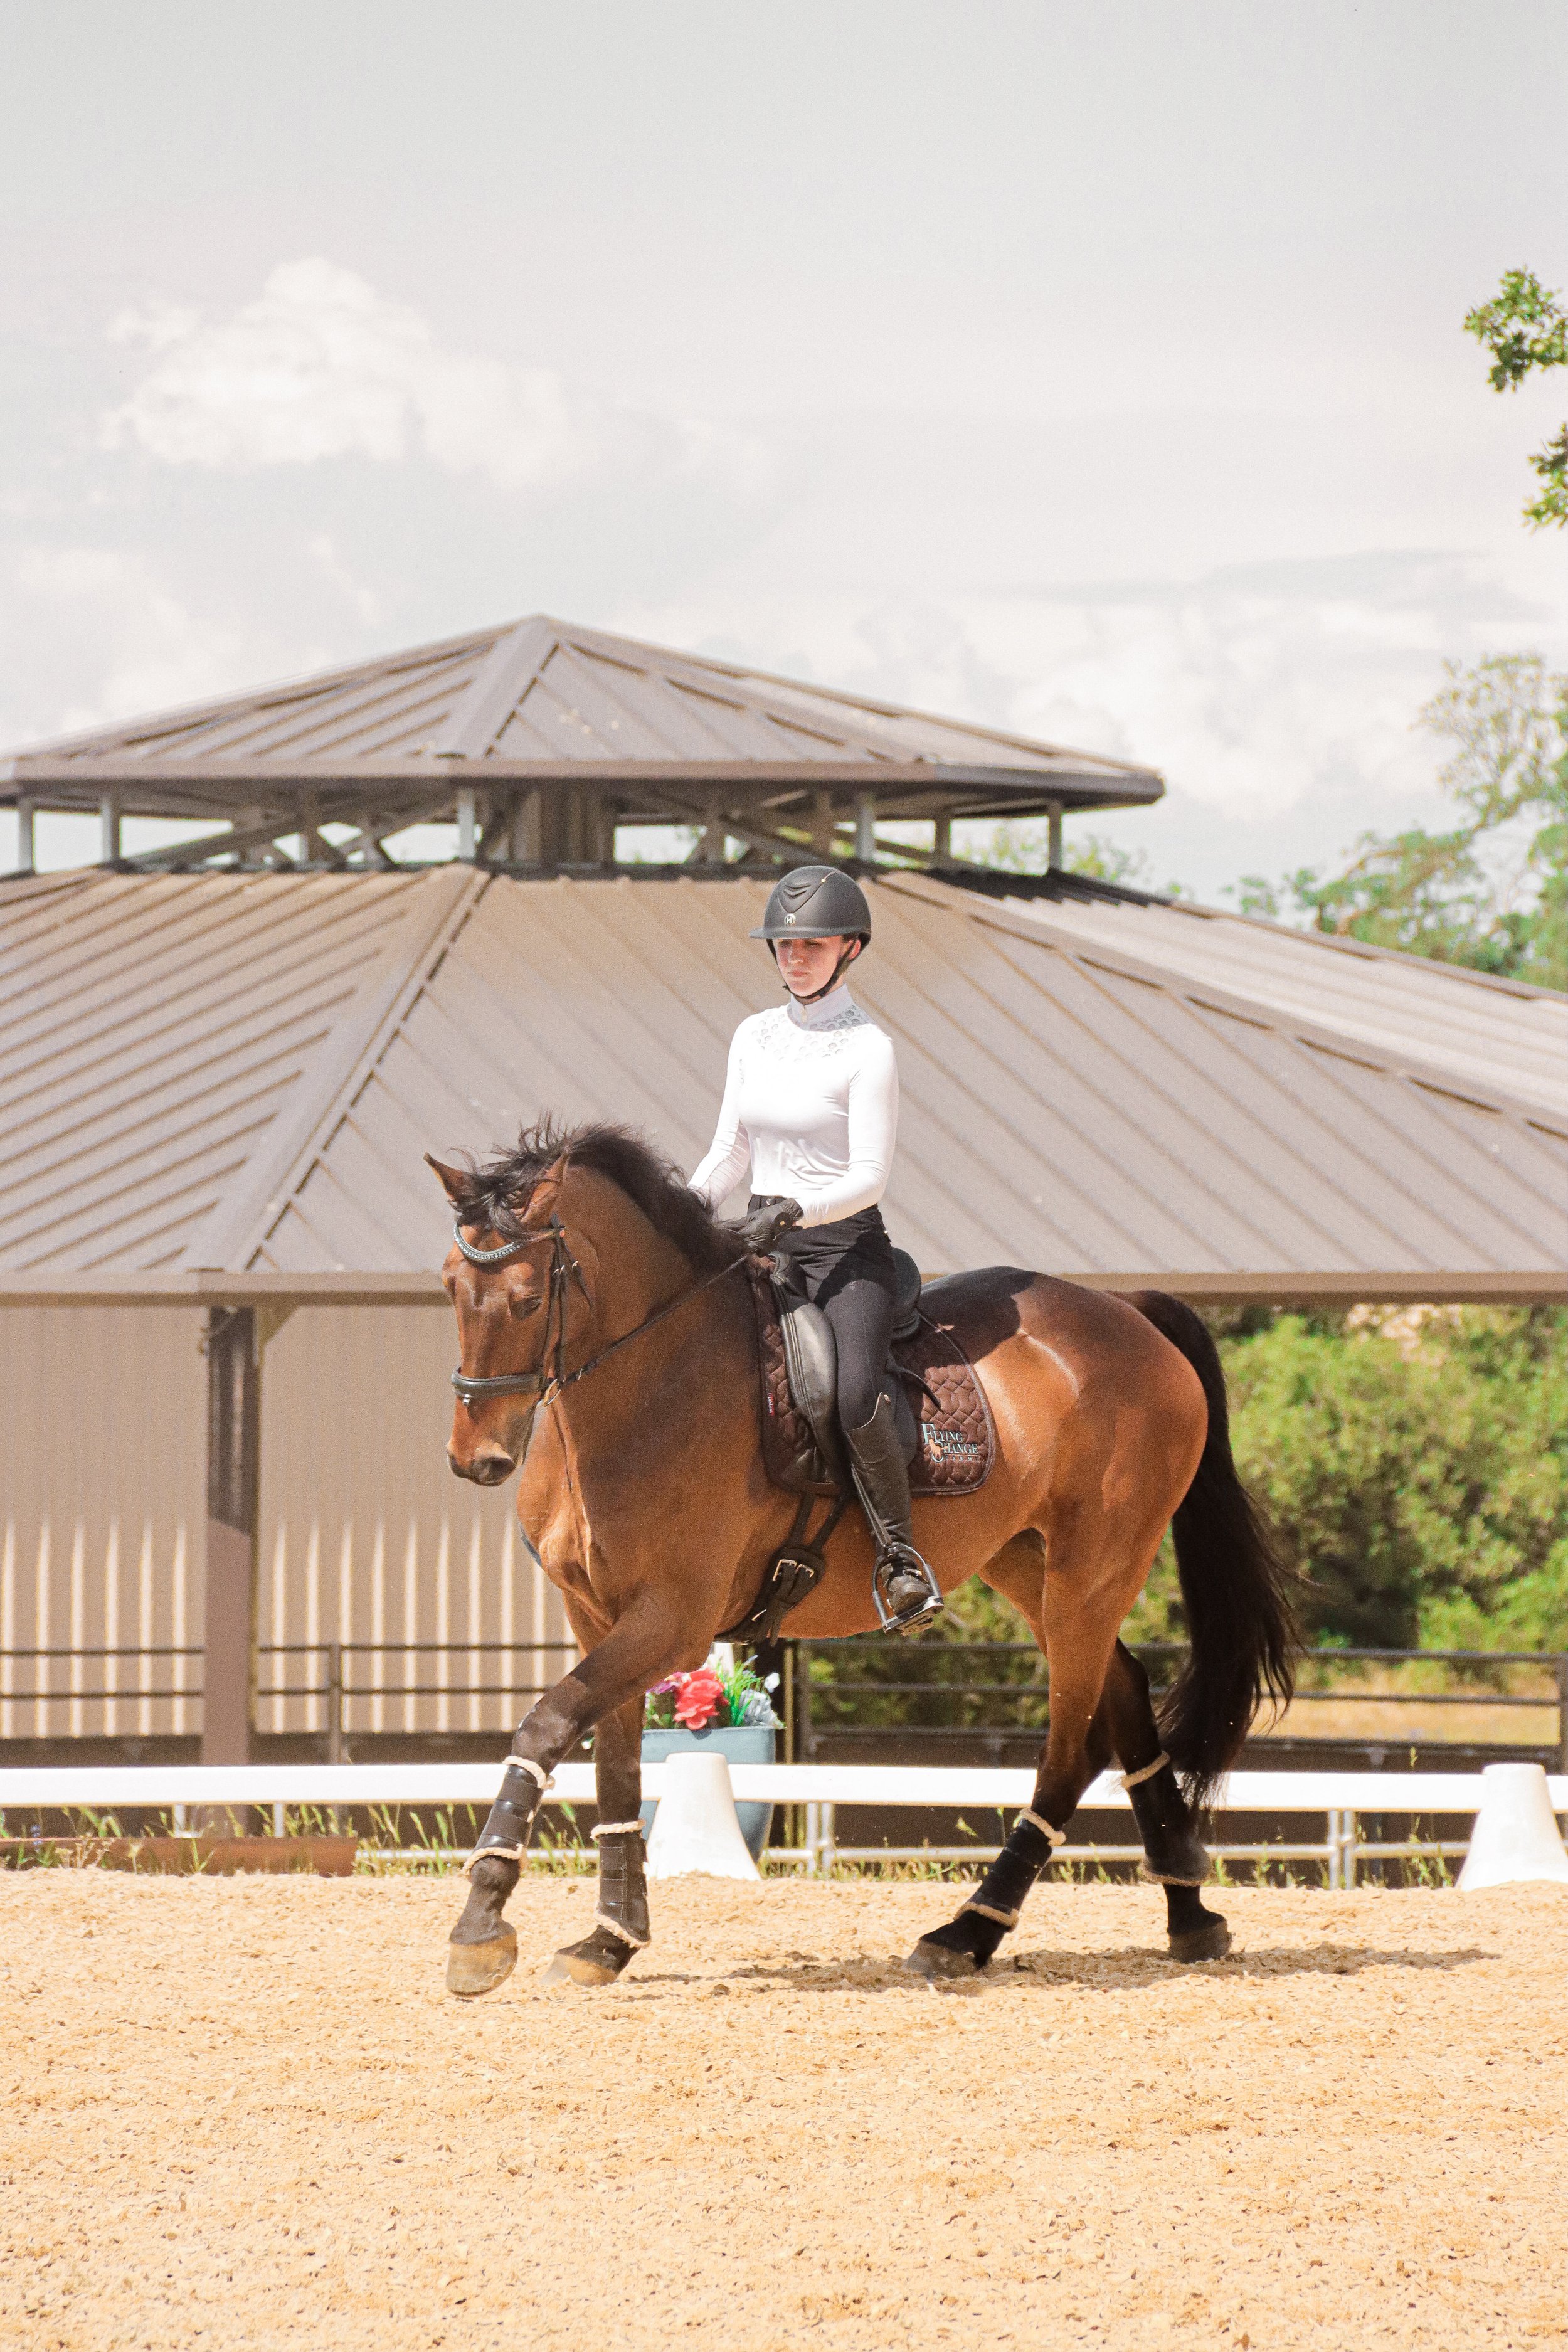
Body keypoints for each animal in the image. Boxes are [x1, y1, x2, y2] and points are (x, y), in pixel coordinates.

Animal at [428, 1118, 1296, 1997]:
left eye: (528, 1299)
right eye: (449, 1288)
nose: (477, 1460)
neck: (649, 1383)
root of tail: (1127, 1311)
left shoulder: (673, 1622)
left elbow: (543, 1728)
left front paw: (481, 1925)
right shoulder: (595, 1615)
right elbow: (613, 1772)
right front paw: (608, 1939)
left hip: (1095, 1567)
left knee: (1067, 1749)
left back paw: (966, 1931)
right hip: (1029, 1562)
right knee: (1120, 1694)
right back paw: (1187, 1912)